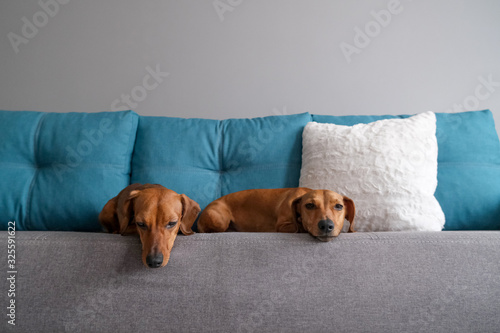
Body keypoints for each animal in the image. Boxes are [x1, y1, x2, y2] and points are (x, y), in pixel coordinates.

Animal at [197, 187, 354, 241]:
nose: (326, 226)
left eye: (339, 206)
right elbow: (299, 227)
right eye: (309, 205)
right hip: (220, 221)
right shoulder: (282, 226)